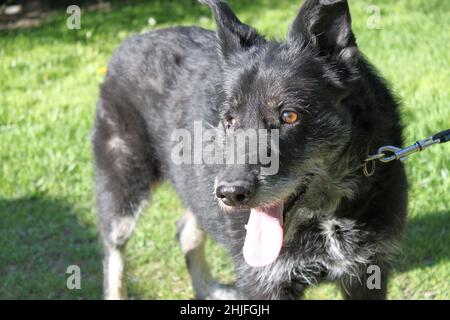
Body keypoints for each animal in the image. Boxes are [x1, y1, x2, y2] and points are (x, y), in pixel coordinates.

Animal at [93, 0, 410, 300]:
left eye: (289, 116)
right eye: (229, 120)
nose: (231, 194)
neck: (327, 216)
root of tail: (132, 39)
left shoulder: (368, 272)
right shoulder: (262, 280)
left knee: (186, 230)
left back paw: (208, 289)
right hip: (125, 192)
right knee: (113, 254)